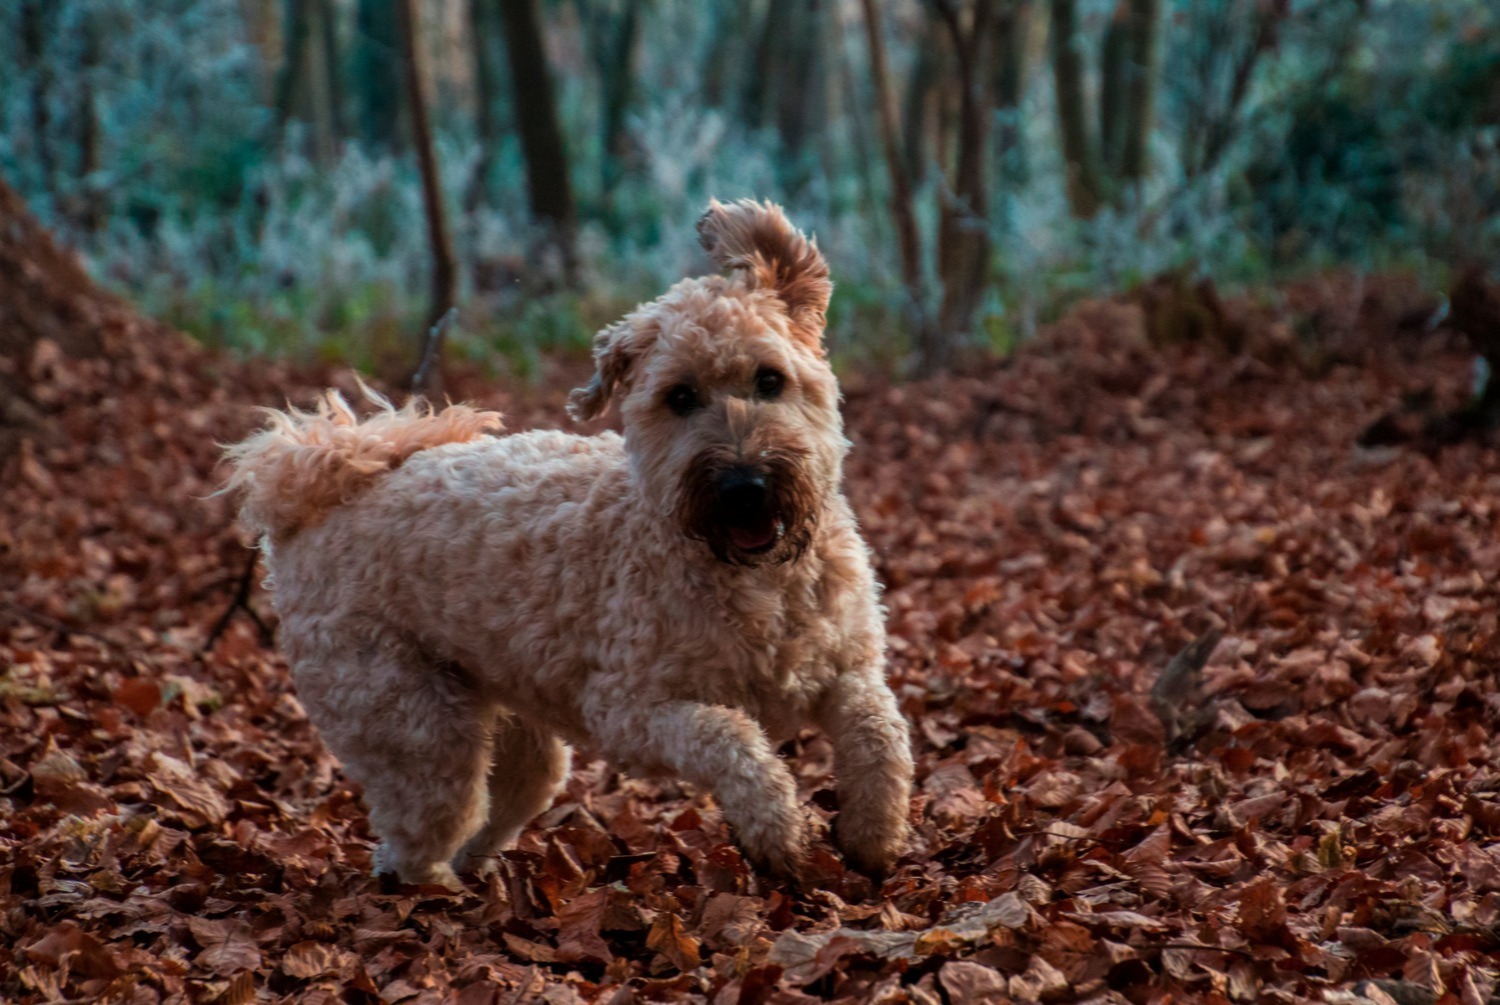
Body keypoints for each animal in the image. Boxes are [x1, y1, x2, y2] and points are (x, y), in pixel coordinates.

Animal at [225, 199, 912, 888]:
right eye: (680, 397)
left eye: (770, 380)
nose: (746, 487)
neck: (755, 575)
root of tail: (314, 493)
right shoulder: (631, 710)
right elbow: (732, 740)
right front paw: (776, 830)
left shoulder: (846, 670)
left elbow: (881, 735)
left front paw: (872, 834)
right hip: (414, 723)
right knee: (419, 835)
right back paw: (436, 888)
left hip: (507, 726)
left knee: (499, 803)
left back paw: (484, 873)